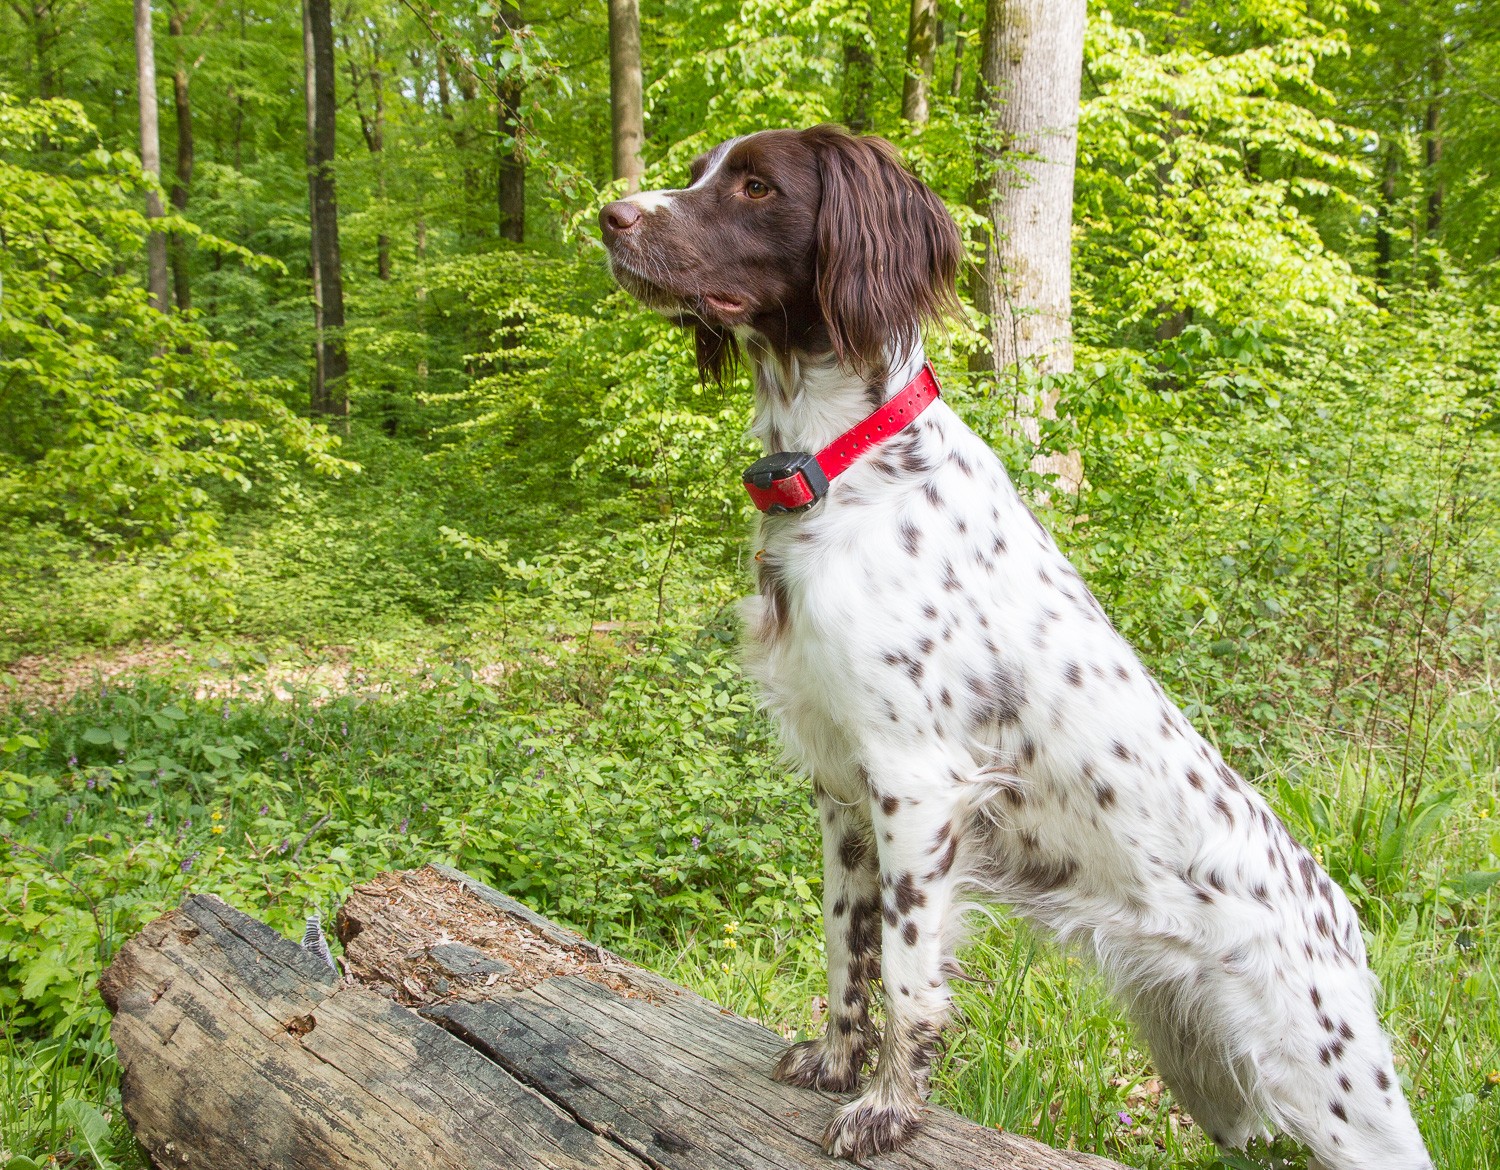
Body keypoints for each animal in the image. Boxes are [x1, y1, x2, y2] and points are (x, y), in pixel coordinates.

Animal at [597, 123, 1428, 1164]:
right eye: (700, 172)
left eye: (754, 187)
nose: (608, 216)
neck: (843, 467)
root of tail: (1345, 923)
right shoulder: (840, 787)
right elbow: (843, 949)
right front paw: (834, 1061)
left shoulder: (916, 784)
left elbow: (908, 976)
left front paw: (890, 1107)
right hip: (1219, 1090)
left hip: (1339, 1094)